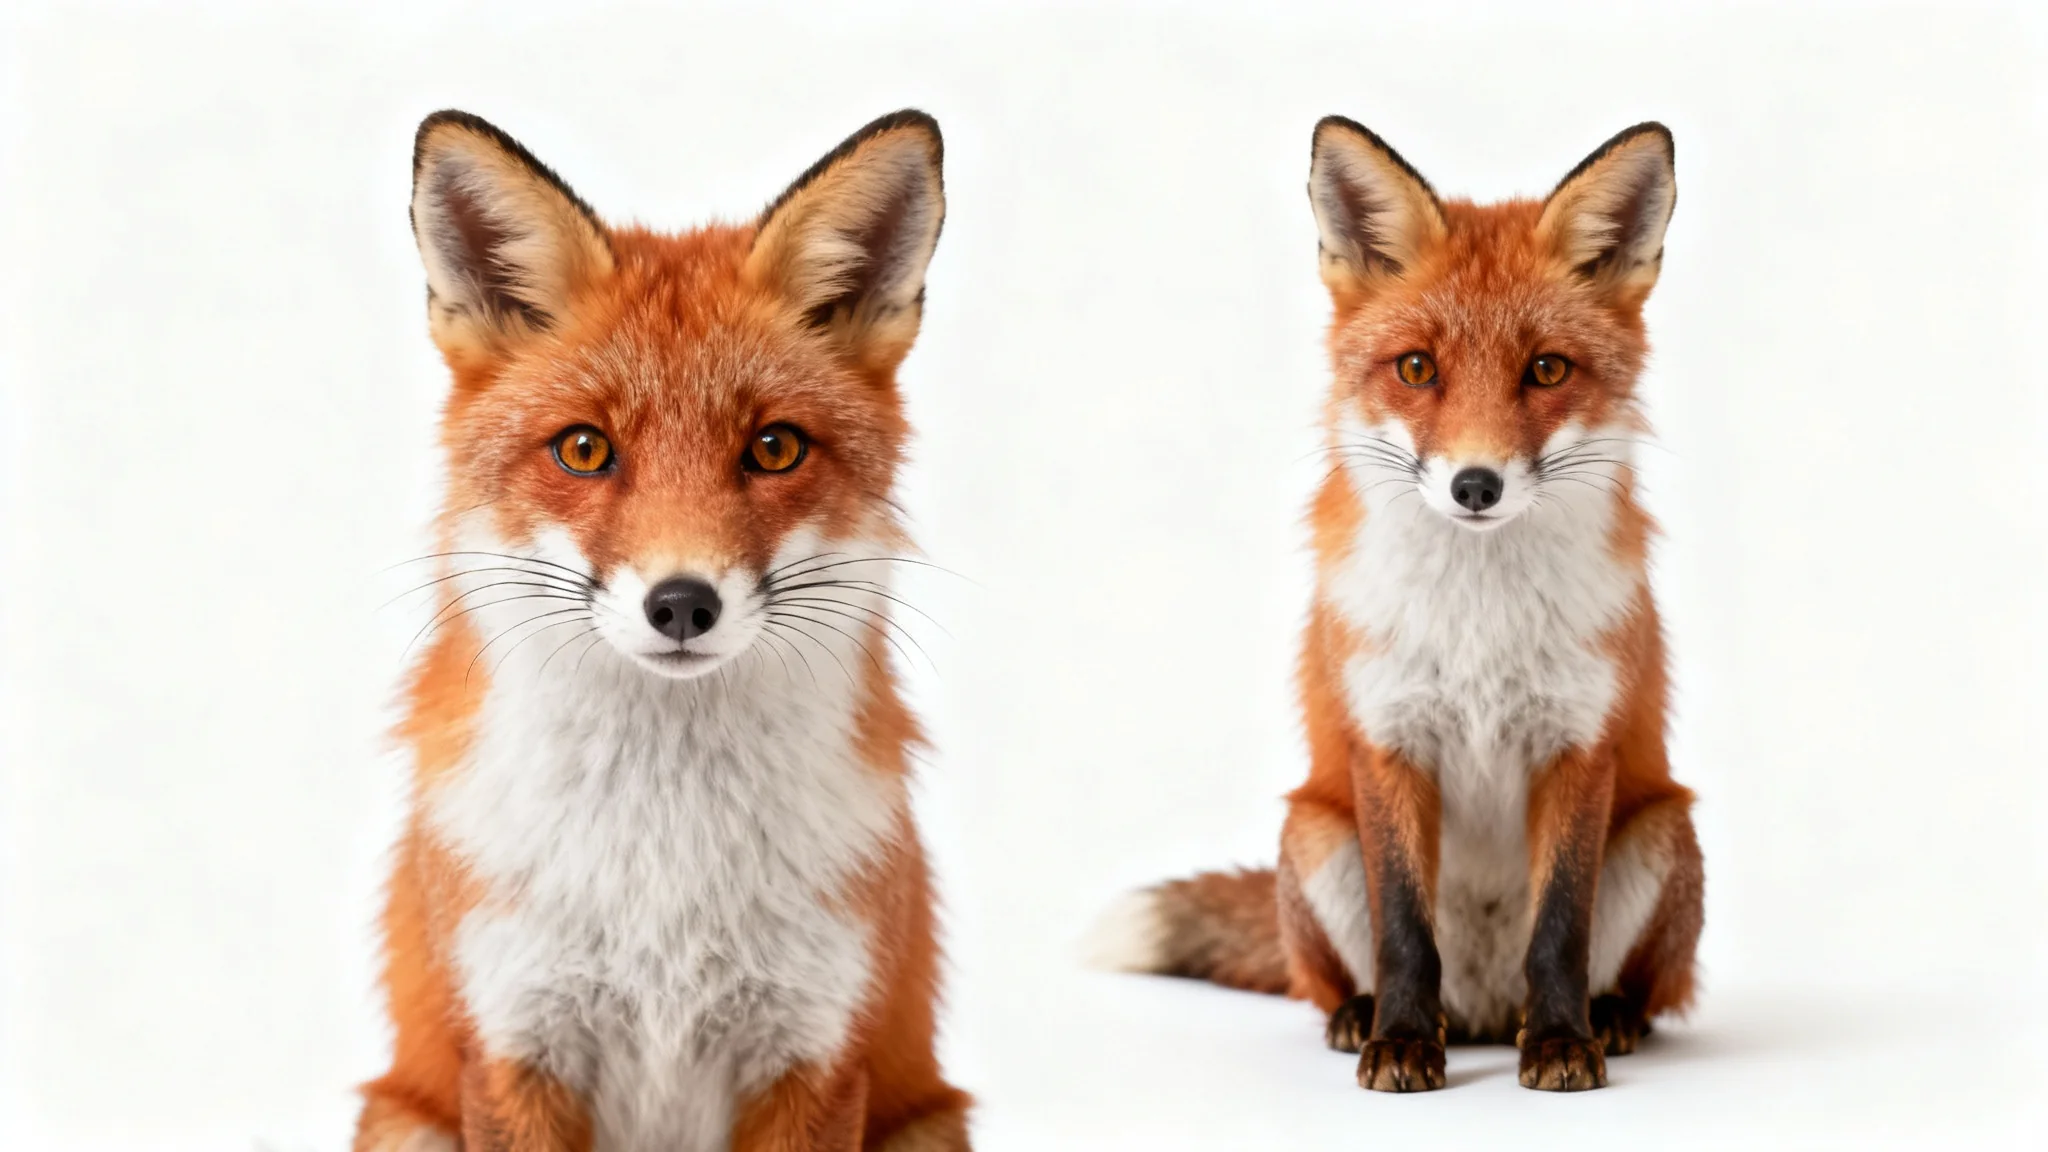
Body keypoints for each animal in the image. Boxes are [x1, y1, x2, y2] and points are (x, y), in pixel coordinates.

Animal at [352, 110, 969, 1151]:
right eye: (584, 449)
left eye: (774, 448)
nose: (682, 603)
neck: (663, 872)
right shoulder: (515, 1044)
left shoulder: (812, 1050)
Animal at [1091, 118, 1702, 1093]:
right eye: (1417, 368)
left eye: (1547, 369)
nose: (1475, 485)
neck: (1480, 623)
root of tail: (1485, 1012)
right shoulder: (1388, 738)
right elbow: (1405, 930)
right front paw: (1405, 1042)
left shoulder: (1577, 744)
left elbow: (1560, 930)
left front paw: (1562, 1043)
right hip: (1313, 836)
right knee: (1340, 975)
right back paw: (1361, 1016)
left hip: (1660, 832)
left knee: (1632, 982)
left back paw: (1606, 1018)